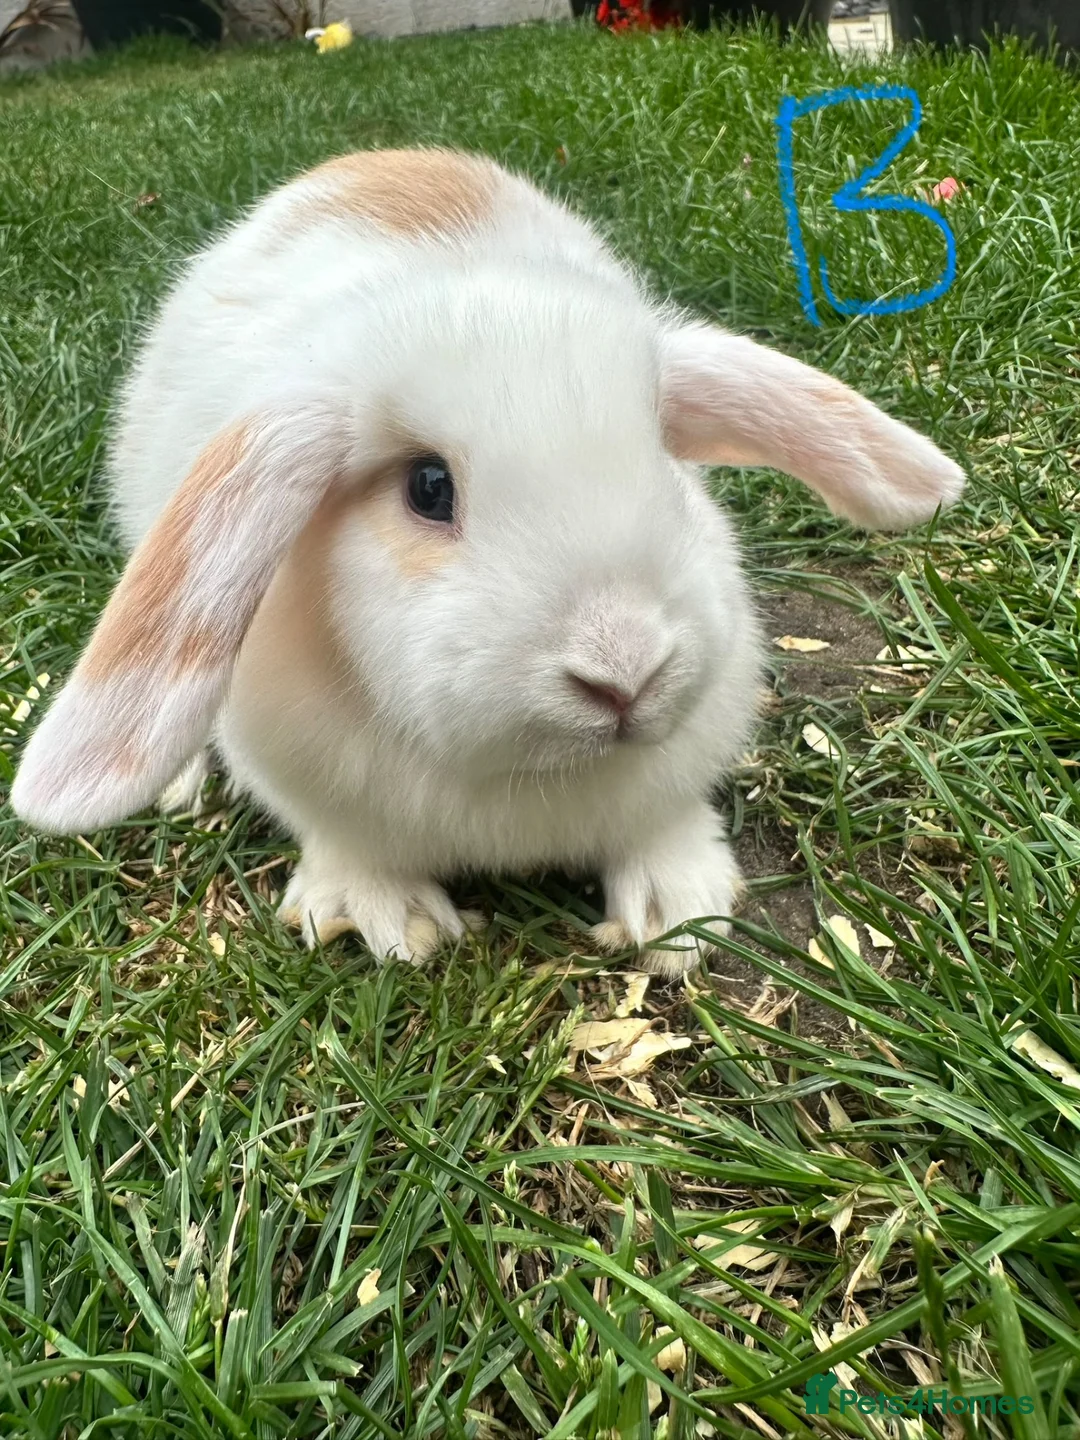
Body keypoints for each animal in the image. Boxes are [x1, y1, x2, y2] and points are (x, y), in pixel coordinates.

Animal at [11, 148, 964, 975]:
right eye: (428, 488)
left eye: (664, 460)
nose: (625, 673)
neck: (525, 779)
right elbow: (349, 846)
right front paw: (392, 920)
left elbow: (663, 825)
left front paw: (679, 913)